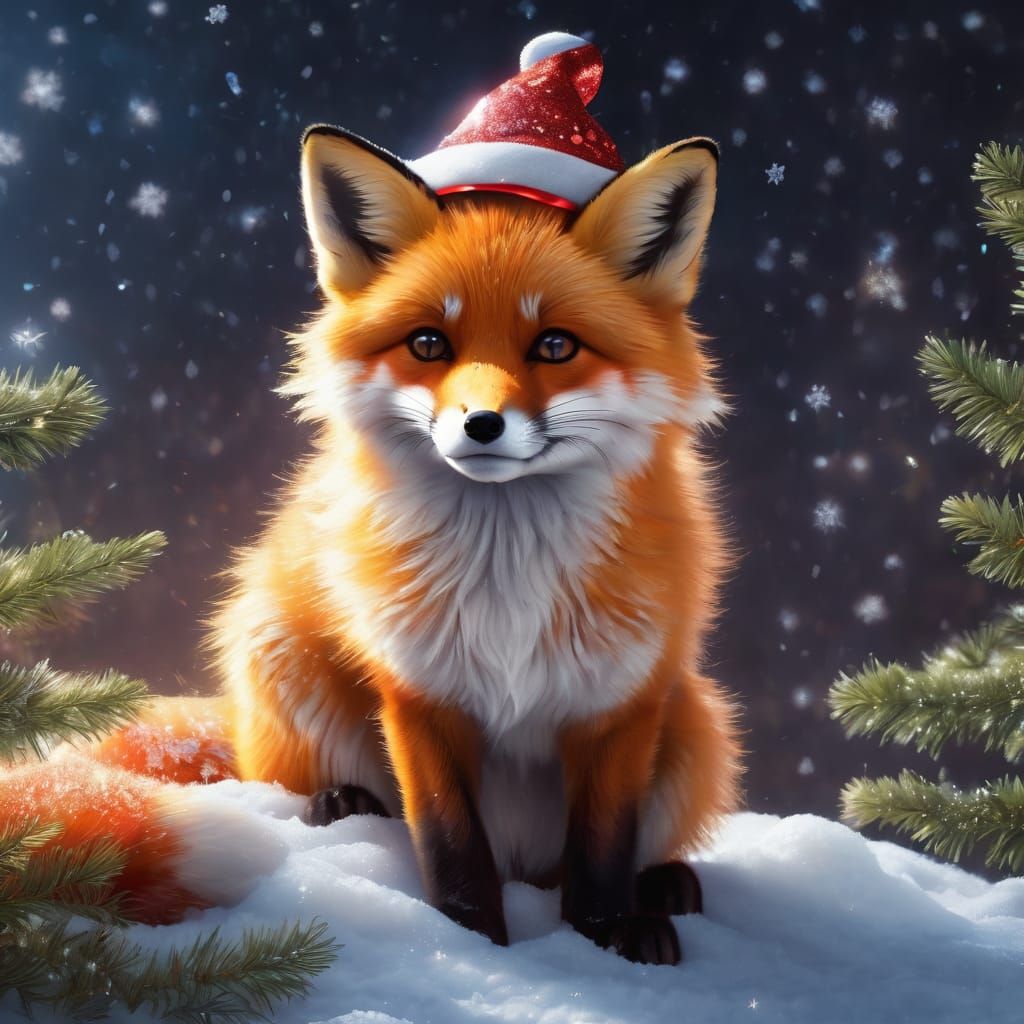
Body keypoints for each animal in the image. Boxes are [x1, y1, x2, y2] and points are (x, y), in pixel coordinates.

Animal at [0, 101, 742, 964]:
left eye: (556, 344)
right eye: (429, 342)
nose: (482, 424)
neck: (506, 583)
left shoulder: (620, 705)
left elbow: (599, 857)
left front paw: (601, 943)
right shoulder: (417, 695)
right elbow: (453, 851)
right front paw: (472, 947)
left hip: (696, 723)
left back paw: (663, 890)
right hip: (283, 660)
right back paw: (339, 804)